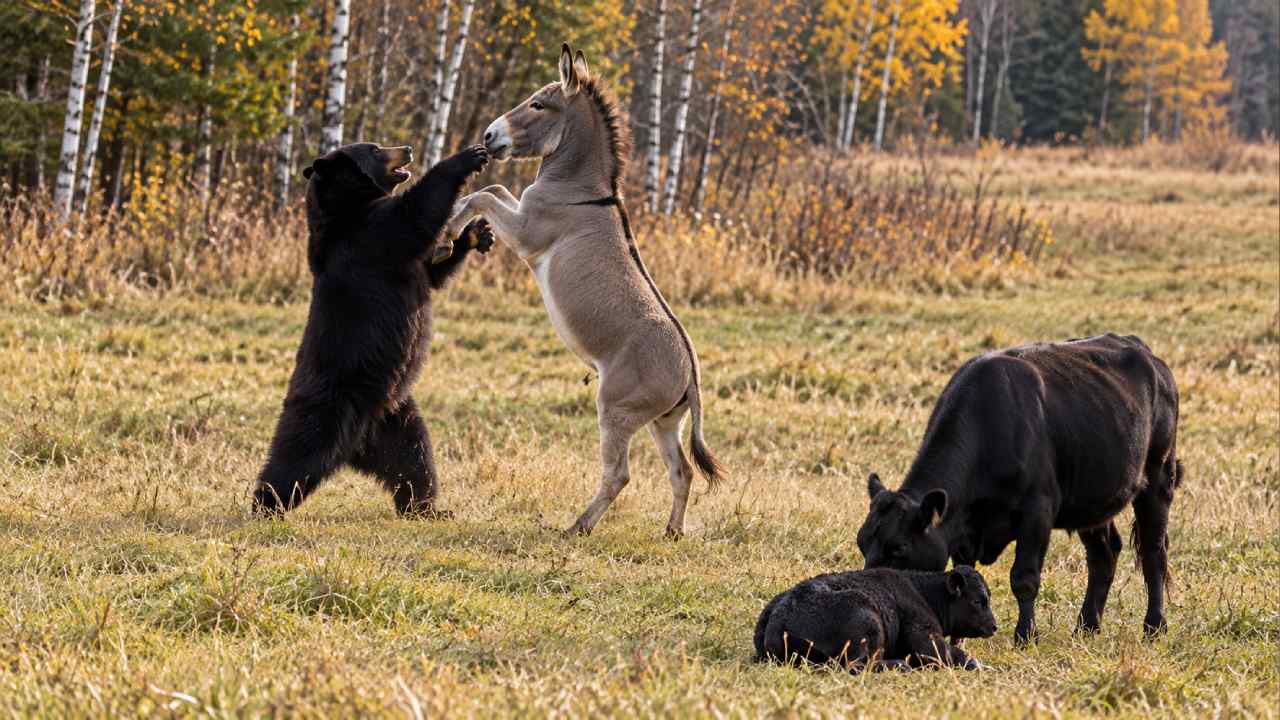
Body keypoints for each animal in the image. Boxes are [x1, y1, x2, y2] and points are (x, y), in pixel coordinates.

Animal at [251, 142, 491, 517]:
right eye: (375, 148)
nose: (407, 148)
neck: (347, 210)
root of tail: (355, 447)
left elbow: (432, 270)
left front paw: (479, 232)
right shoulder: (369, 239)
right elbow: (412, 217)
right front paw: (467, 157)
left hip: (396, 416)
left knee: (415, 459)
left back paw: (426, 508)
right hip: (326, 407)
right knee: (295, 455)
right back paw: (266, 504)